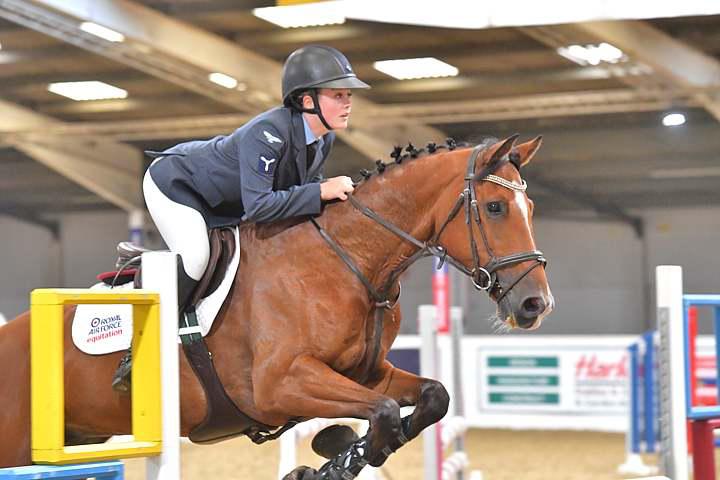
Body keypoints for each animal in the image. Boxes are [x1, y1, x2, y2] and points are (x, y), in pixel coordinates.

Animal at [0, 135, 553, 479]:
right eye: (495, 208)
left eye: (530, 207)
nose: (535, 304)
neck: (348, 260)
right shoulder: (279, 385)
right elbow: (382, 414)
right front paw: (335, 457)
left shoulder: (366, 373)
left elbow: (428, 399)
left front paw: (337, 452)